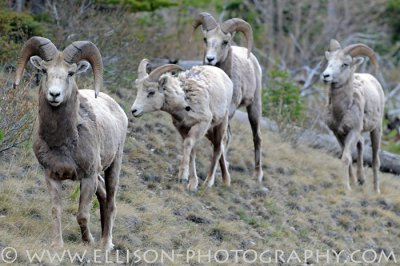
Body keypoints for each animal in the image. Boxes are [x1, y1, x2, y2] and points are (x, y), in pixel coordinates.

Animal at [14, 35, 127, 249]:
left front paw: (88, 241)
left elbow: (82, 214)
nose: (54, 95)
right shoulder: (52, 176)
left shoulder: (88, 177)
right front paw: (57, 245)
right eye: (44, 71)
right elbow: (56, 210)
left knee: (111, 202)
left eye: (71, 73)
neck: (62, 142)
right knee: (103, 196)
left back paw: (105, 244)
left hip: (113, 166)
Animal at [131, 58, 233, 191]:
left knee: (217, 147)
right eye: (138, 90)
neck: (185, 102)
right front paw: (192, 184)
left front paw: (183, 177)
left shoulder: (201, 124)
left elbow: (188, 145)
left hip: (221, 123)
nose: (134, 111)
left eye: (151, 92)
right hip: (210, 130)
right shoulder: (183, 128)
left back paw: (209, 182)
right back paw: (226, 181)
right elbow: (192, 152)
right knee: (218, 146)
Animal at [192, 12, 264, 183]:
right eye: (205, 39)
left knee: (256, 137)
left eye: (225, 42)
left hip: (254, 107)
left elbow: (221, 140)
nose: (210, 59)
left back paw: (257, 175)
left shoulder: (228, 111)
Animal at [322, 39, 384, 193]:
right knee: (361, 144)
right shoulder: (338, 133)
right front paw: (352, 182)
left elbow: (346, 158)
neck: (341, 111)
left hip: (376, 129)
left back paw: (376, 190)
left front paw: (347, 188)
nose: (325, 76)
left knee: (375, 160)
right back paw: (360, 180)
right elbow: (347, 157)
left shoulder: (353, 131)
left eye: (345, 64)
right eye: (329, 61)